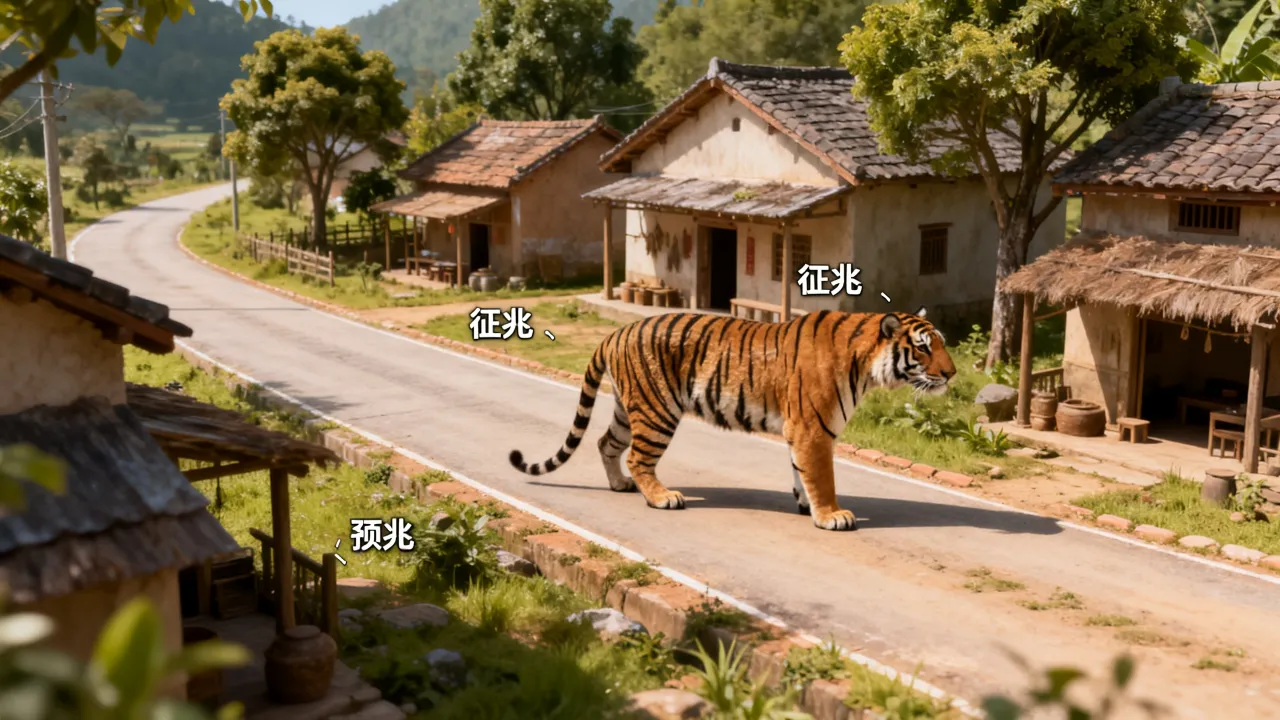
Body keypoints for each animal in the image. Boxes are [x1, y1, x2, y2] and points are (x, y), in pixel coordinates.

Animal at [508, 308, 957, 531]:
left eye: (942, 343)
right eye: (923, 347)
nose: (952, 374)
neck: (866, 365)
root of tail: (615, 332)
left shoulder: (800, 432)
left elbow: (801, 472)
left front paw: (805, 506)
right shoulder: (813, 429)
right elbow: (821, 476)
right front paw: (832, 516)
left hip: (628, 407)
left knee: (607, 443)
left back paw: (620, 484)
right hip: (657, 410)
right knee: (638, 457)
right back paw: (661, 496)